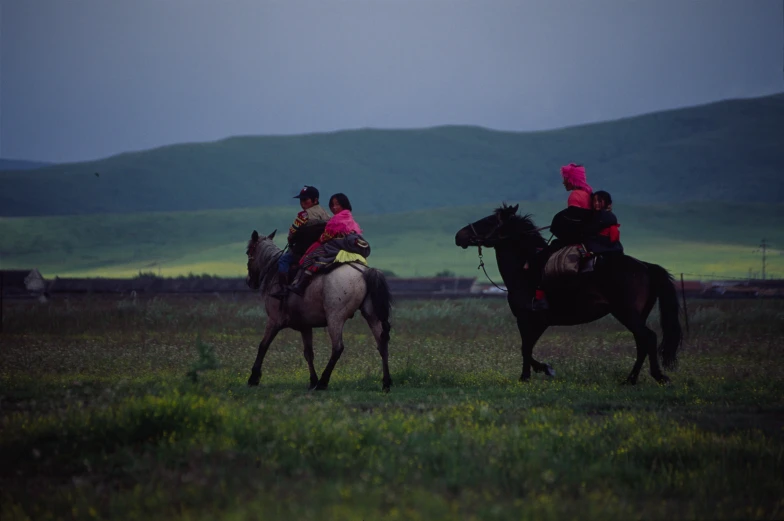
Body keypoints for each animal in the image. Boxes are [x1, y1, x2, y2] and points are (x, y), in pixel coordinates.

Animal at [245, 229, 392, 390]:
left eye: (248, 251)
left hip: (335, 318)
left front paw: (254, 378)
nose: (249, 281)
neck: (275, 272)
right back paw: (386, 382)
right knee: (382, 343)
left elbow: (263, 346)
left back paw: (323, 382)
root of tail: (364, 272)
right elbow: (308, 353)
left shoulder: (274, 321)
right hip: (372, 315)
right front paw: (312, 380)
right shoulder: (305, 326)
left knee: (338, 347)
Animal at [454, 205, 680, 384]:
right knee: (642, 342)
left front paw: (530, 375)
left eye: (489, 221)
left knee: (648, 338)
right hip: (636, 315)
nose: (458, 236)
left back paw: (658, 377)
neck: (524, 268)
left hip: (627, 313)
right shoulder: (536, 322)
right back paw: (630, 379)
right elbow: (527, 348)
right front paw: (541, 370)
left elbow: (525, 348)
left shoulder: (530, 319)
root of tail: (646, 267)